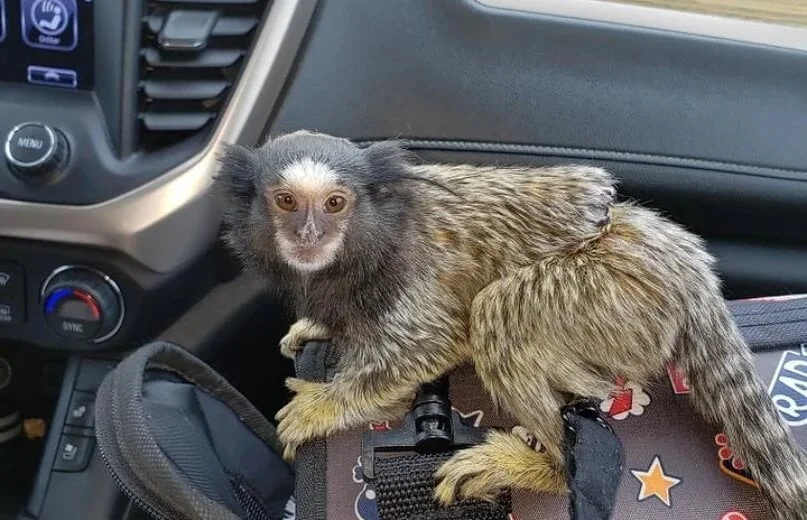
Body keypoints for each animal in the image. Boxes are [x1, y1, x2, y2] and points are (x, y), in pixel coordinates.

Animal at [214, 130, 807, 520]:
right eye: (285, 201)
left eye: (335, 203)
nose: (309, 233)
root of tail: (672, 252)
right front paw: (317, 328)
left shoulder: (410, 278)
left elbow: (428, 345)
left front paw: (323, 406)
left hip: (615, 291)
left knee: (498, 312)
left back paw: (542, 467)